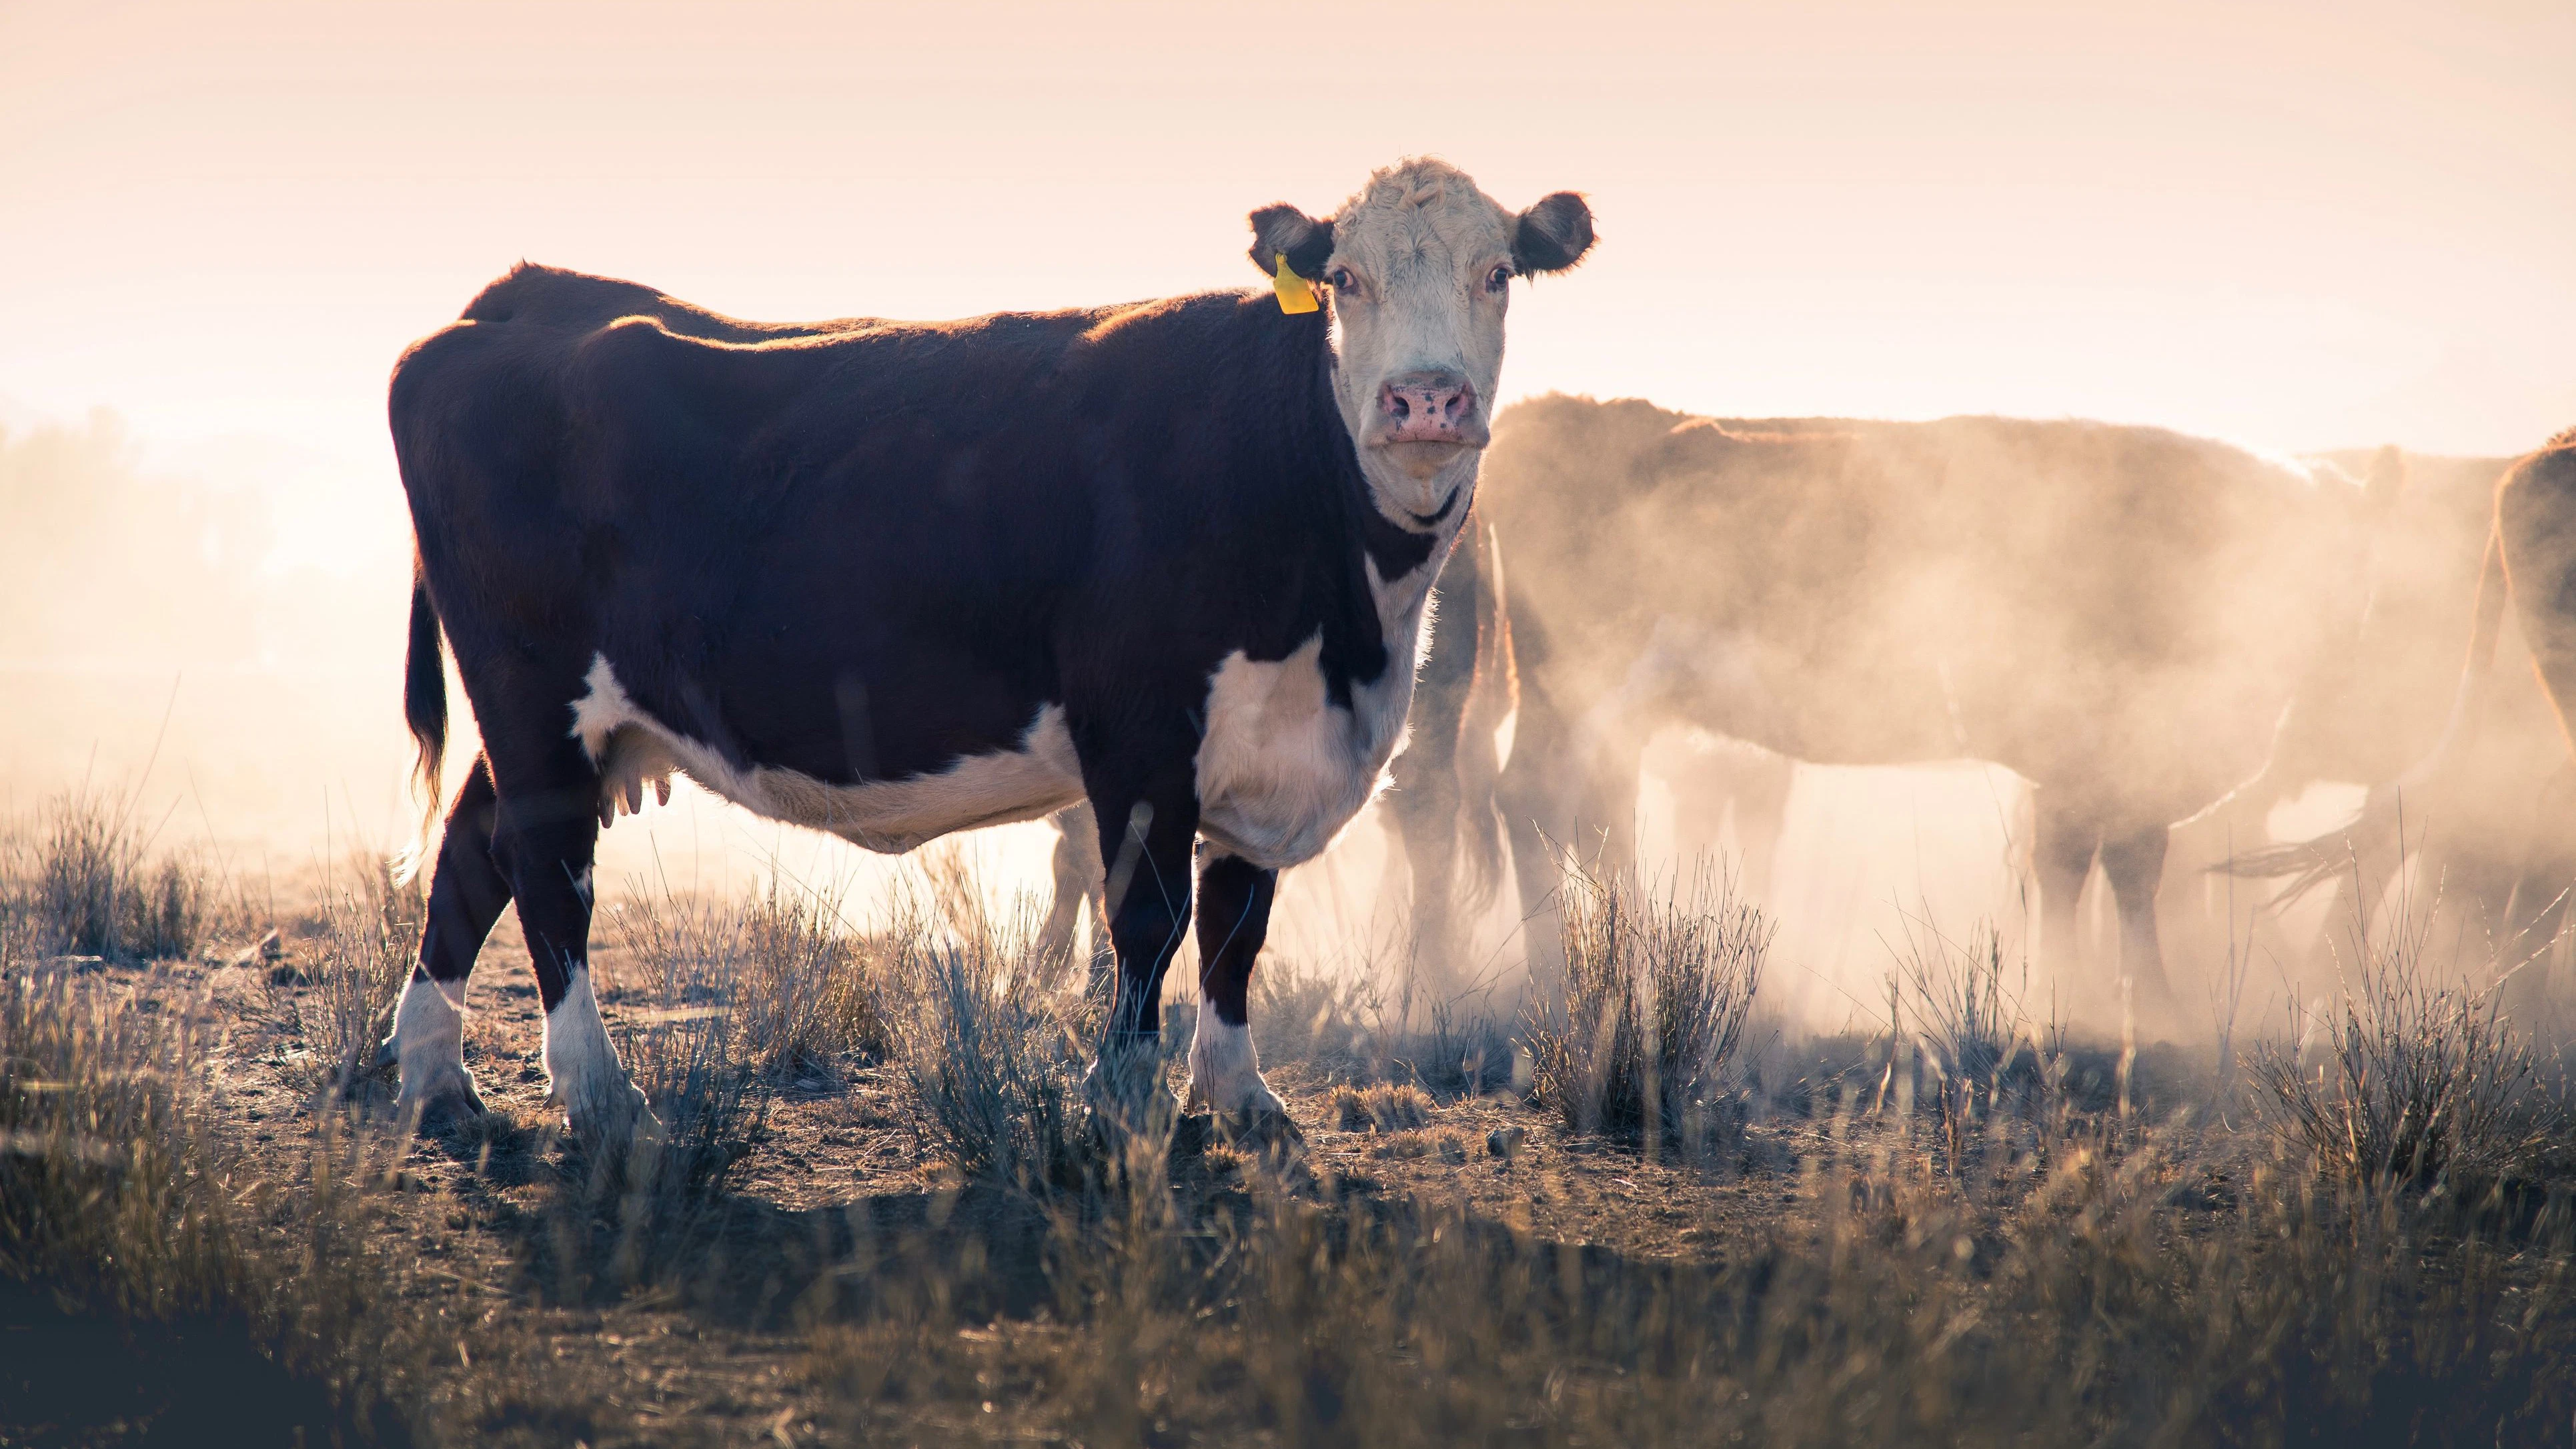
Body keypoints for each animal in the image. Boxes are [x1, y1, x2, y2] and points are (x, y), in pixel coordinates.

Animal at [374, 158, 1596, 1140]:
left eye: (1498, 272)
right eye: (1345, 279)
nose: (1425, 399)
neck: (1350, 632)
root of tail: (529, 295)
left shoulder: (1268, 752)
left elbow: (1237, 929)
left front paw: (1240, 1098)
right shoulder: (1139, 729)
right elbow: (1149, 918)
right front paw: (1124, 1100)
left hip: (574, 714)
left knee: (473, 849)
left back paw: (434, 1074)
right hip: (531, 685)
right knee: (543, 864)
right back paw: (598, 1095)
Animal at [1441, 398, 2380, 1034]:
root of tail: (1561, 410)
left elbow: (2104, 871)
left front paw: (2115, 996)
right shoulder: (2095, 756)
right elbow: (2097, 870)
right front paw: (2112, 1001)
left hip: (1618, 710)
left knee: (1595, 819)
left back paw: (1626, 961)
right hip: (1577, 684)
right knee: (1533, 799)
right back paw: (1554, 979)